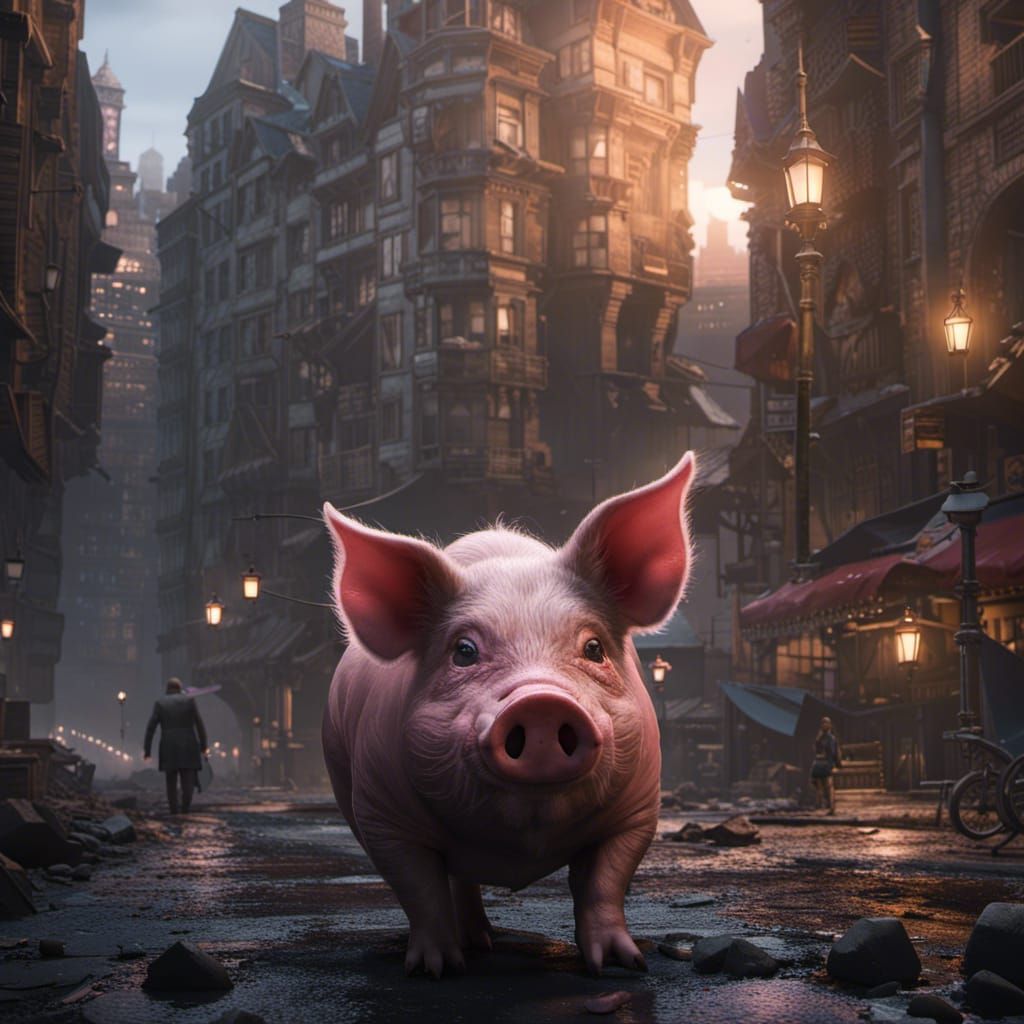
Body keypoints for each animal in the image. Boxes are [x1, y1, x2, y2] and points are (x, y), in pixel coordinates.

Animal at [321, 452, 696, 978]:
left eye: (594, 648)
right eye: (463, 651)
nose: (541, 702)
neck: (522, 836)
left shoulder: (637, 808)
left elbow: (604, 884)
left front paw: (623, 965)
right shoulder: (382, 814)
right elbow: (419, 890)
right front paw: (435, 970)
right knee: (457, 881)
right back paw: (475, 945)